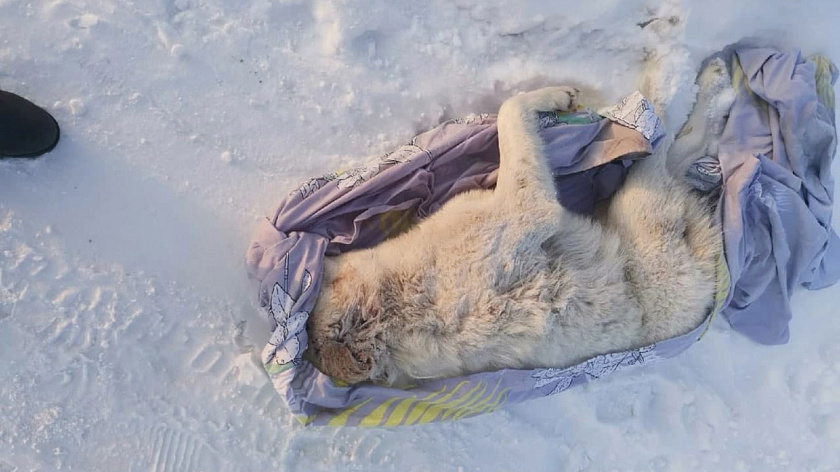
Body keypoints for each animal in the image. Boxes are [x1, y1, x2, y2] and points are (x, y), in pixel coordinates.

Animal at [306, 59, 732, 386]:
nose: (322, 256)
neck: (398, 309)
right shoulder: (527, 205)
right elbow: (511, 111)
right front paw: (553, 96)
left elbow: (508, 114)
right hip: (641, 205)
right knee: (672, 146)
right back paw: (698, 82)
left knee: (680, 148)